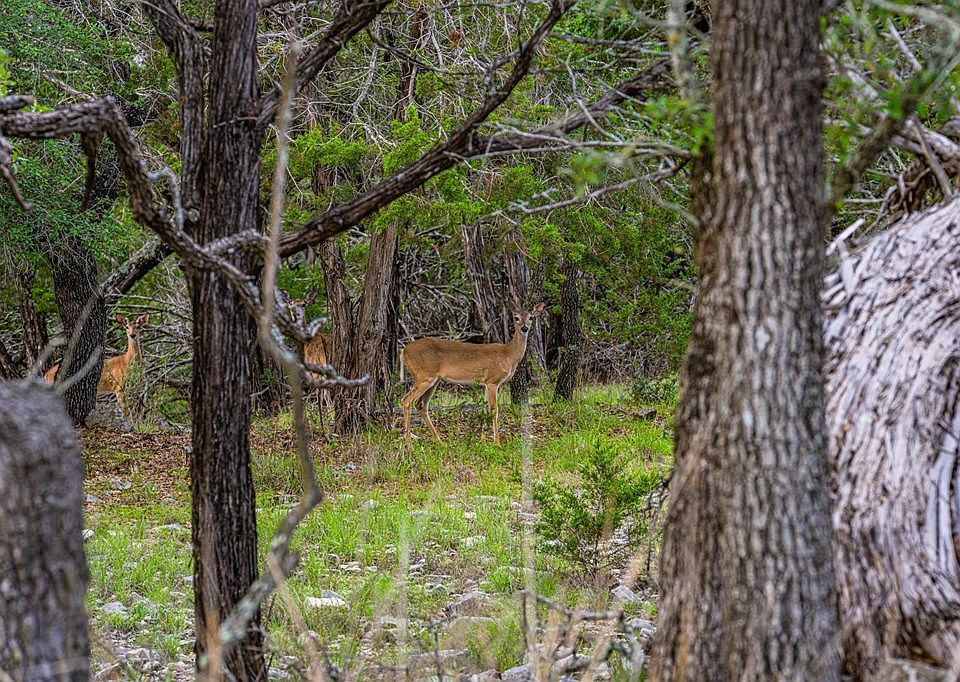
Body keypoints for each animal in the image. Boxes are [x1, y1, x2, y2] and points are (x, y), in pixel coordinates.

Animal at [400, 303, 544, 445]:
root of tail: (404, 351)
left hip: (433, 380)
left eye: (531, 317)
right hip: (424, 376)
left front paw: (482, 440)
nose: (525, 328)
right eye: (516, 318)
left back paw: (439, 441)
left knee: (421, 405)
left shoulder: (486, 383)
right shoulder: (493, 380)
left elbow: (485, 408)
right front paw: (497, 442)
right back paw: (408, 443)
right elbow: (494, 410)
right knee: (406, 400)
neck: (508, 354)